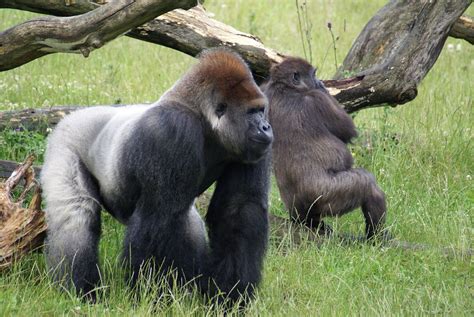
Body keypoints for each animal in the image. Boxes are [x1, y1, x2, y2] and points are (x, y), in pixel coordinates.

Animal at [41, 48, 274, 302]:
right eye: (251, 113)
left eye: (262, 110)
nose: (266, 127)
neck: (201, 116)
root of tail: (71, 116)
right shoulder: (172, 131)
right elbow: (160, 217)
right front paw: (151, 295)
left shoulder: (252, 148)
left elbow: (238, 209)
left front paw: (228, 293)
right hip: (64, 141)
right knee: (76, 217)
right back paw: (81, 290)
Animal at [262, 56, 386, 238]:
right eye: (313, 74)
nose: (320, 82)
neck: (284, 87)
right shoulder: (318, 98)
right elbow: (348, 130)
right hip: (327, 197)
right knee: (367, 184)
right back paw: (377, 237)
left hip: (299, 212)